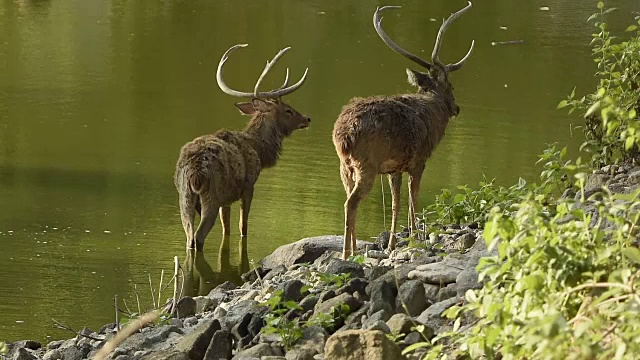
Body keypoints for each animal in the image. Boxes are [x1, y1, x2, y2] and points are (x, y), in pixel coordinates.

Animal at [176, 43, 312, 250]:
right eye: (288, 110)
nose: (307, 118)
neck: (258, 149)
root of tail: (194, 173)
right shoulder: (248, 186)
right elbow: (243, 226)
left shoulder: (226, 199)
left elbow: (226, 228)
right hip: (211, 194)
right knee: (198, 236)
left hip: (185, 196)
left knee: (189, 234)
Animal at [332, 0, 472, 258]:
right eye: (451, 85)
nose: (456, 108)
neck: (433, 114)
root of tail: (343, 135)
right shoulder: (419, 160)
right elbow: (413, 199)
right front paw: (417, 238)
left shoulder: (394, 168)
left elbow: (396, 203)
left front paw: (392, 244)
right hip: (366, 164)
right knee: (351, 202)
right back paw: (347, 253)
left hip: (344, 166)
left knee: (348, 198)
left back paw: (355, 249)